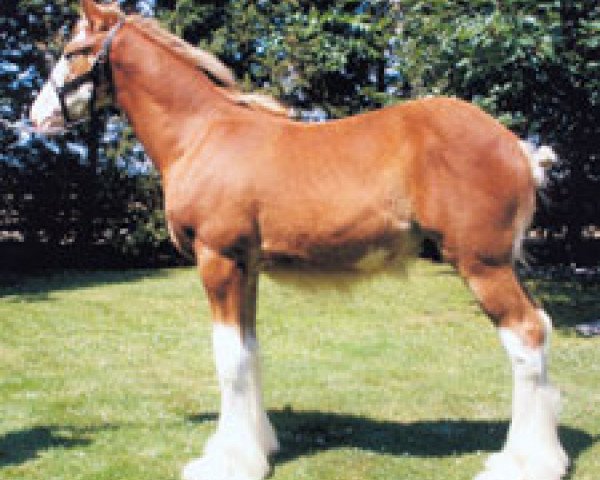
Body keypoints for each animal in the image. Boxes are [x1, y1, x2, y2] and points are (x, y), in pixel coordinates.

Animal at [31, 0, 568, 480]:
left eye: (73, 50)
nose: (36, 116)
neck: (203, 134)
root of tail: (517, 147)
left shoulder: (218, 260)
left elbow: (229, 358)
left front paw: (226, 463)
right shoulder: (245, 268)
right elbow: (249, 350)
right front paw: (258, 447)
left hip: (482, 265)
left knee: (525, 336)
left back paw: (526, 465)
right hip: (501, 264)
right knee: (539, 327)